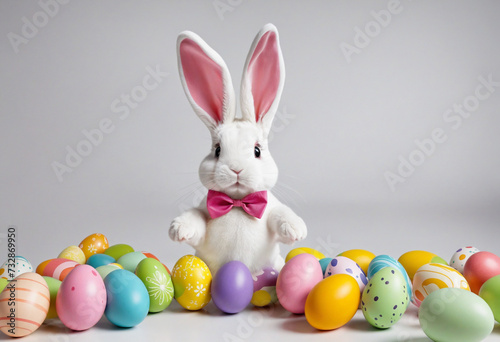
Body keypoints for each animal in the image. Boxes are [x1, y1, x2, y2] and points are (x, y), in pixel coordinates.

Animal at [170, 23, 306, 276]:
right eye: (217, 150)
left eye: (257, 150)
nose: (236, 169)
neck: (237, 204)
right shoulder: (204, 211)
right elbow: (195, 219)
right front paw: (178, 229)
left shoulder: (270, 209)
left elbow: (280, 214)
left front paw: (295, 229)